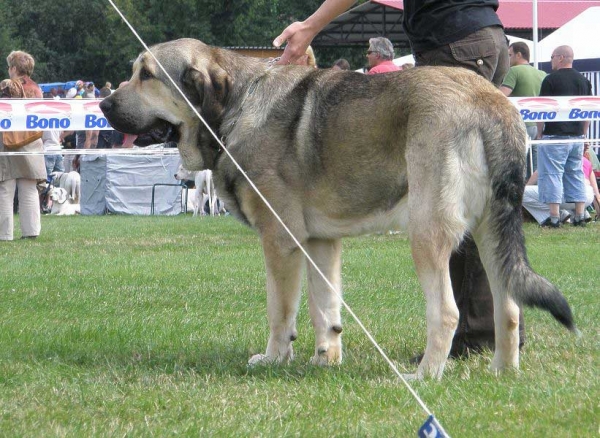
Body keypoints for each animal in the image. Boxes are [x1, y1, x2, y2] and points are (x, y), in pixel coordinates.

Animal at [101, 38, 580, 380]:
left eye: (146, 76)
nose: (104, 103)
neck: (234, 106)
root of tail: (489, 100)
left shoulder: (281, 241)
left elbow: (281, 311)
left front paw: (275, 358)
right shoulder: (320, 242)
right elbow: (325, 308)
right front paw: (325, 358)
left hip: (427, 233)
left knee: (446, 312)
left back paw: (425, 375)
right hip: (489, 233)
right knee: (509, 307)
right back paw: (501, 373)